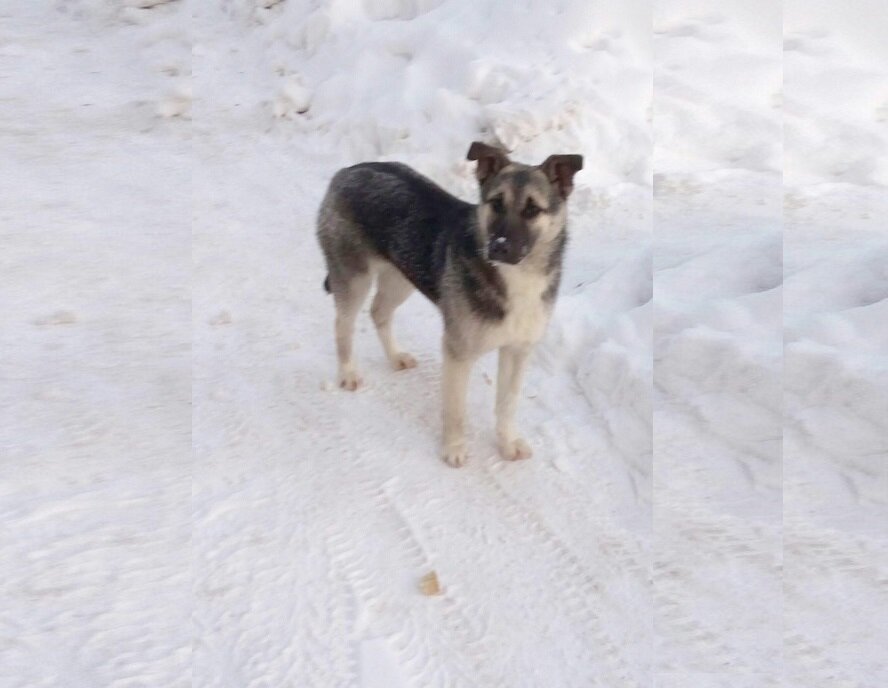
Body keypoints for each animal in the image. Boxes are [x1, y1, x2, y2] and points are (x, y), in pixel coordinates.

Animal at [318, 144, 584, 468]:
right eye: (496, 203)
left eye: (532, 209)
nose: (499, 247)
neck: (515, 277)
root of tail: (346, 172)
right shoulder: (458, 352)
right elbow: (456, 409)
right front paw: (454, 448)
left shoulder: (518, 350)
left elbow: (507, 404)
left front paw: (507, 442)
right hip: (354, 277)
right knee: (343, 324)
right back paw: (347, 372)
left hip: (401, 277)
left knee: (379, 311)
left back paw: (395, 357)